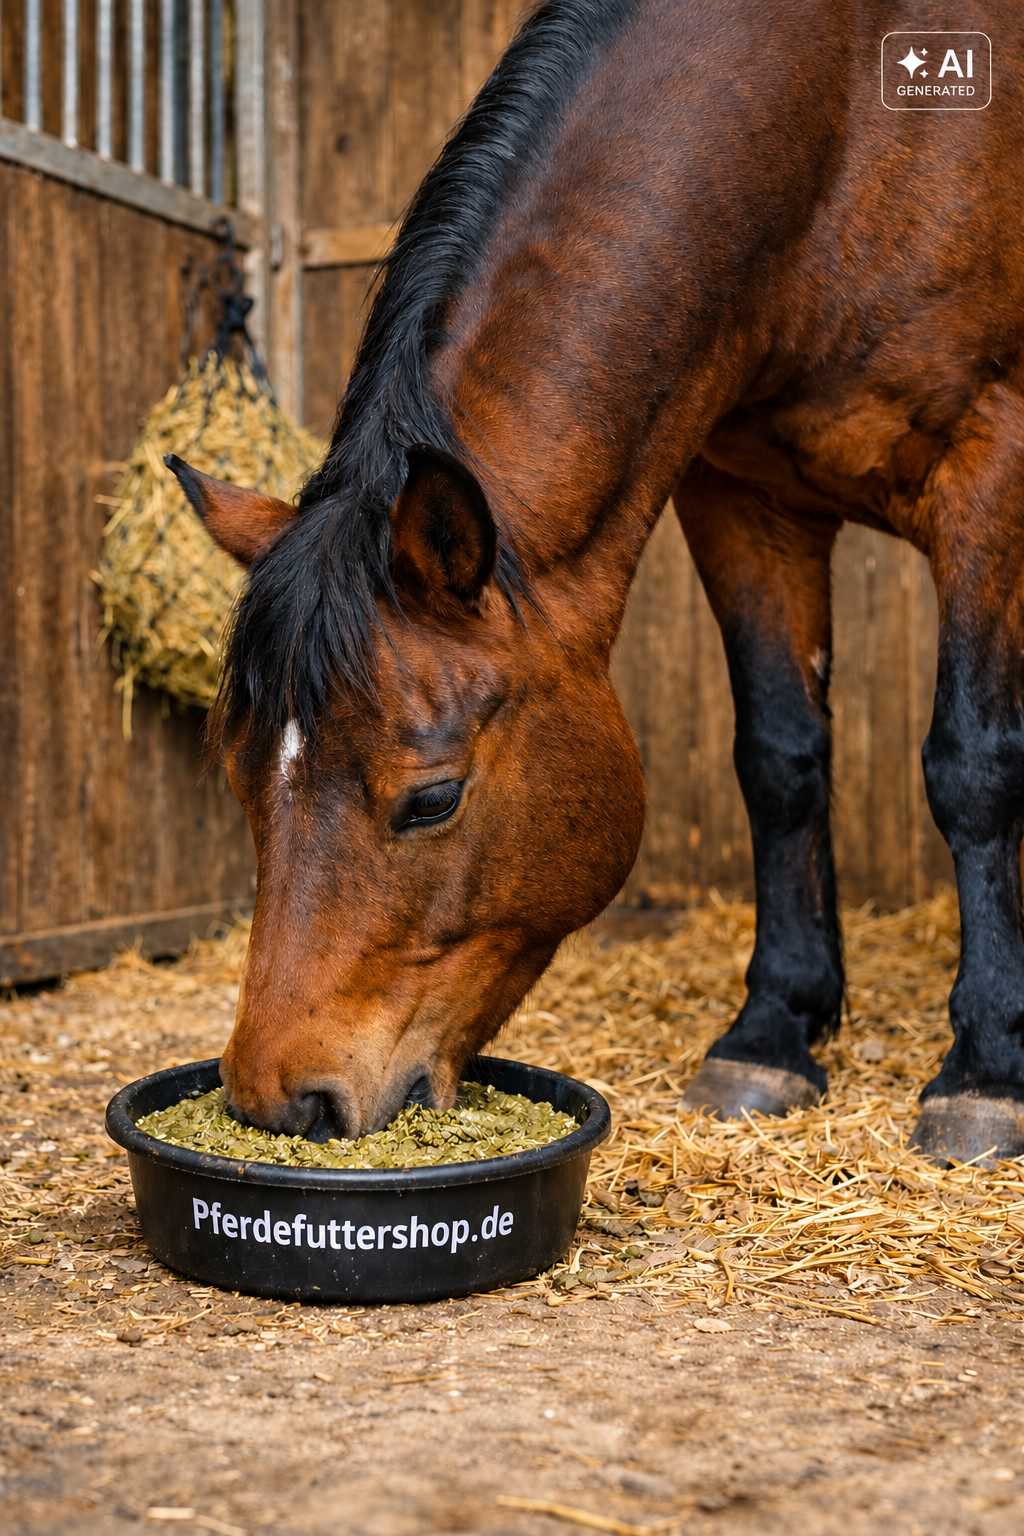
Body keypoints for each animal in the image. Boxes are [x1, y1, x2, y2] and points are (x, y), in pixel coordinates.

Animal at [168, 0, 1024, 1163]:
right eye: (243, 780)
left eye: (432, 800)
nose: (278, 1102)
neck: (846, 134)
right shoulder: (740, 497)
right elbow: (782, 761)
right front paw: (770, 1035)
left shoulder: (990, 461)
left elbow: (972, 766)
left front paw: (985, 1068)